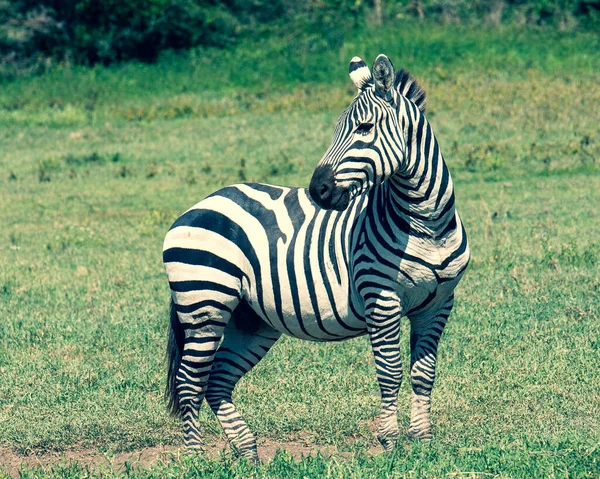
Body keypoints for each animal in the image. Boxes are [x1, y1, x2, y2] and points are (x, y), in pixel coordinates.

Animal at [163, 54, 468, 464]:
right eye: (337, 129)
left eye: (364, 128)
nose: (317, 190)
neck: (427, 224)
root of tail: (198, 206)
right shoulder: (382, 299)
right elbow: (390, 373)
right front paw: (390, 443)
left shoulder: (438, 304)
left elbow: (423, 374)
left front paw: (422, 443)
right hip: (205, 303)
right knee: (189, 381)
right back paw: (196, 457)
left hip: (251, 319)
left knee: (217, 381)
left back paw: (248, 454)